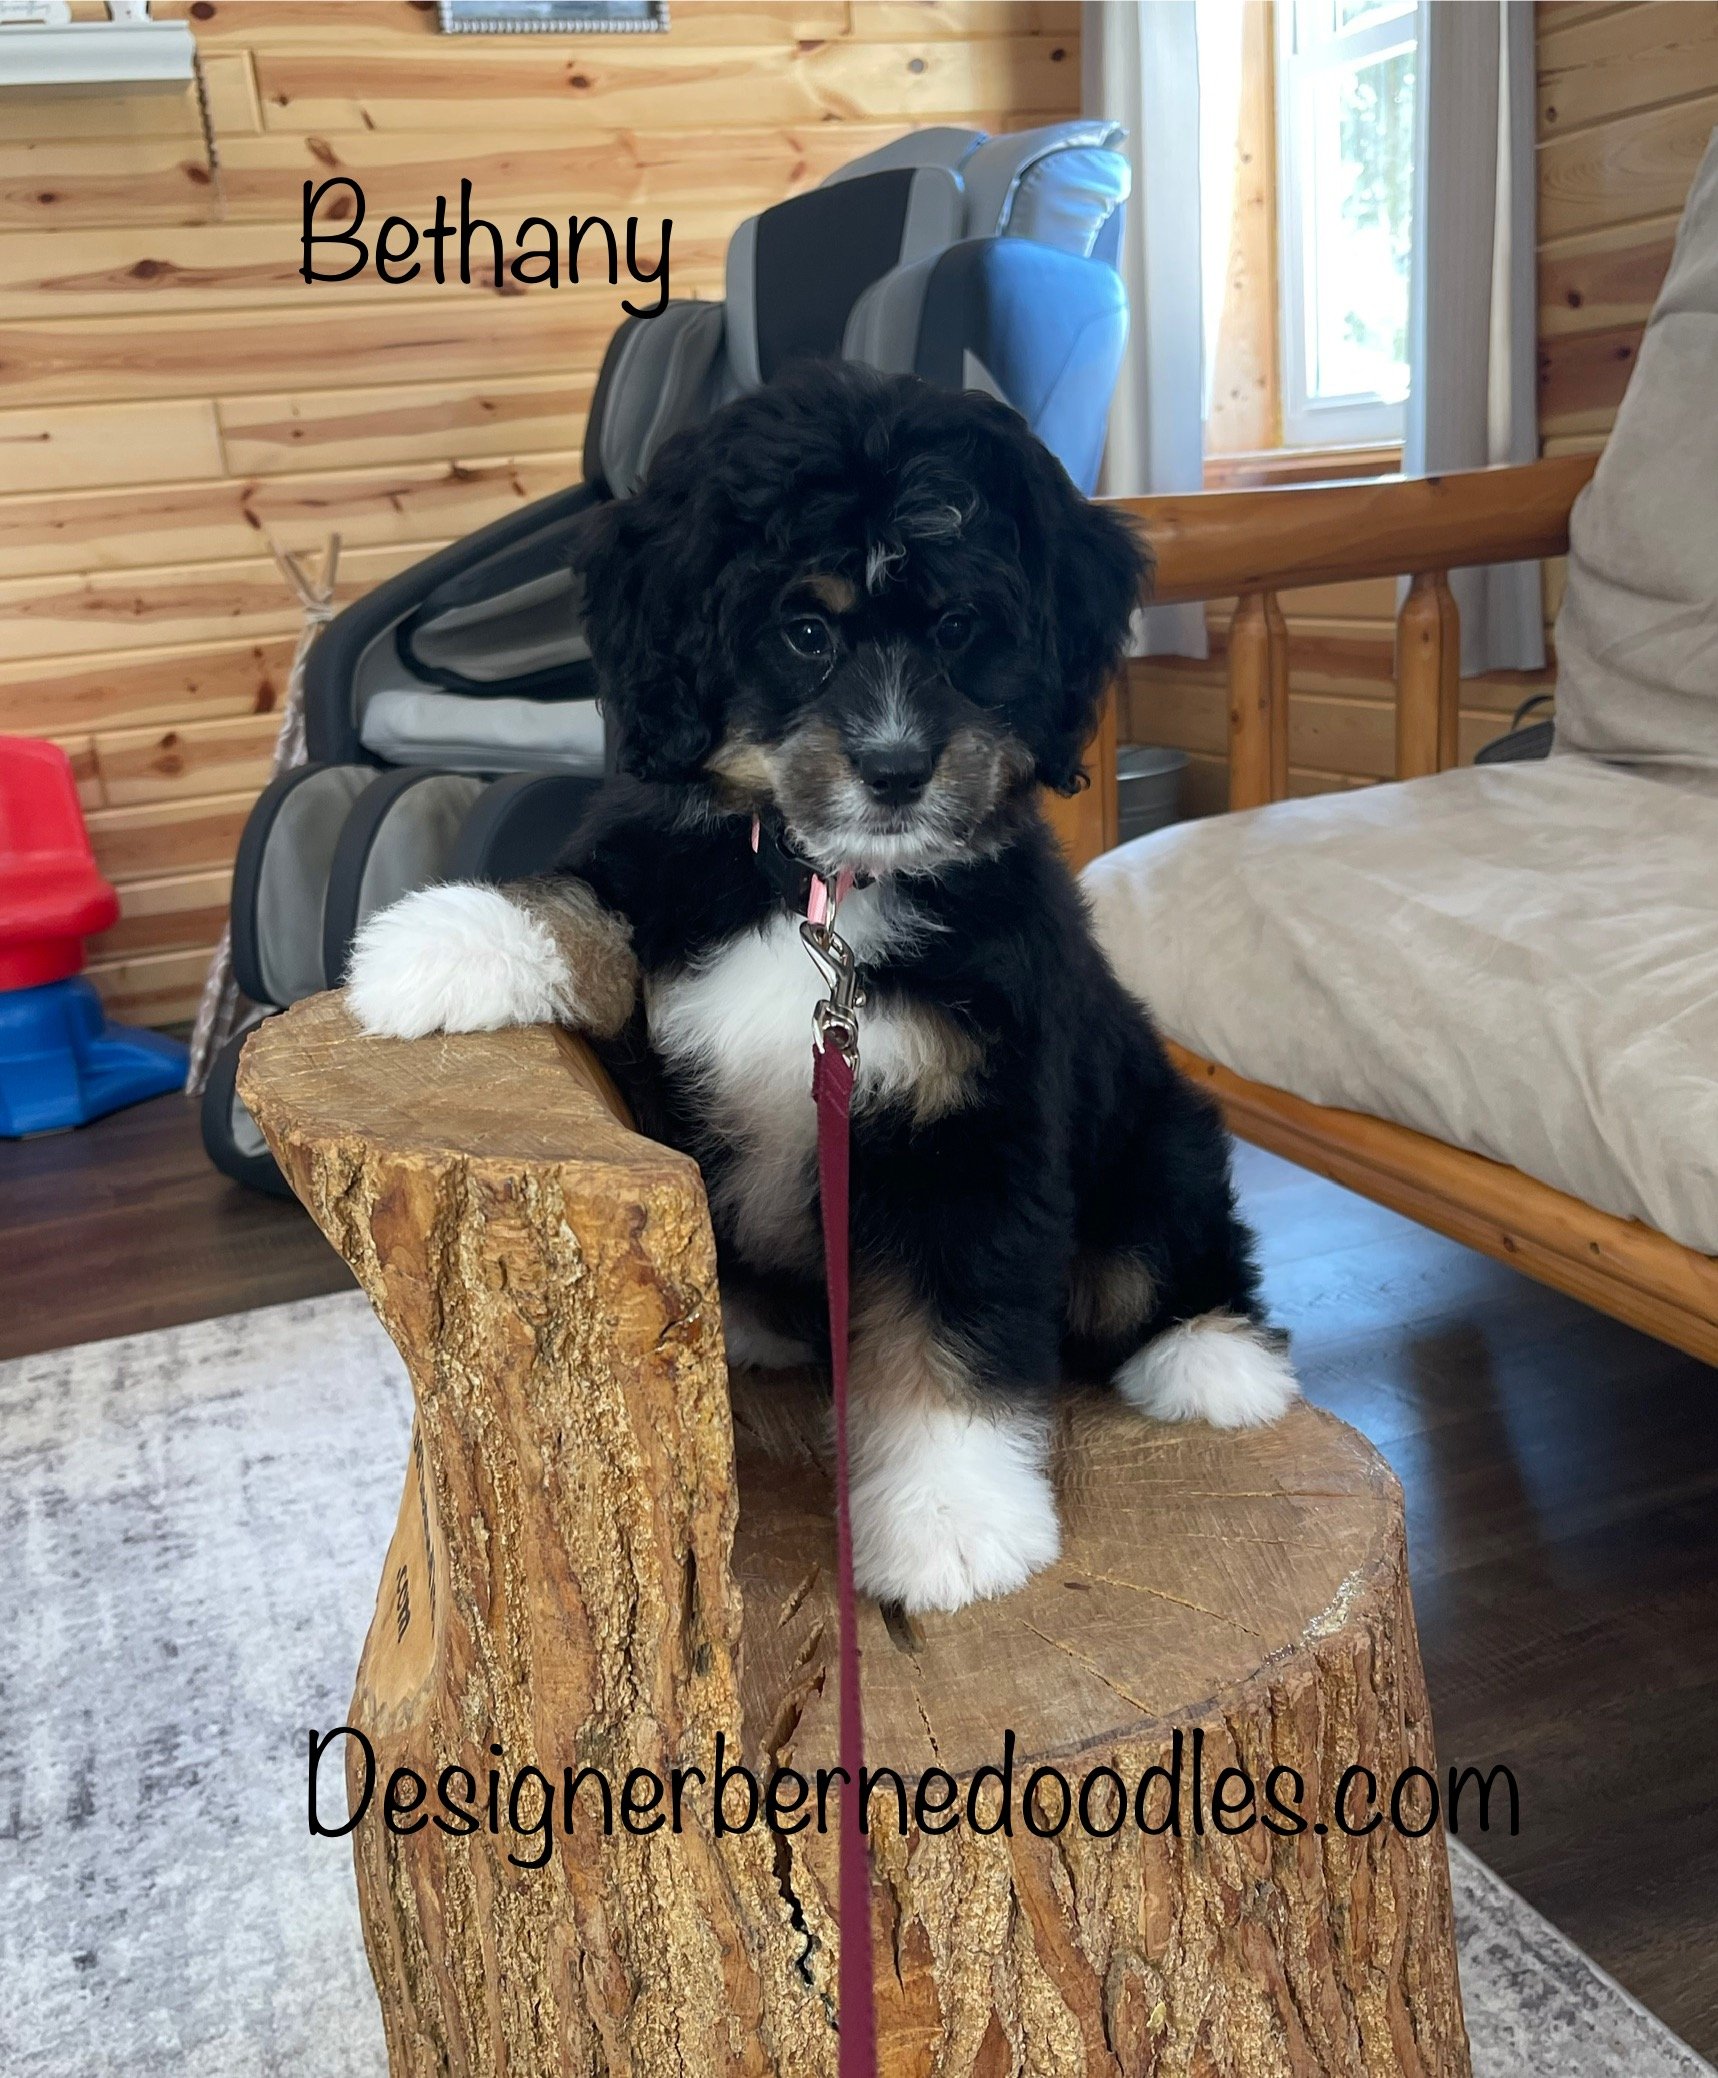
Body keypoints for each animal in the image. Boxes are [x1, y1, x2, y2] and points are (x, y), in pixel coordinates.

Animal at [345, 363, 1296, 1614]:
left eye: (958, 627)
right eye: (802, 630)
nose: (895, 769)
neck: (827, 892)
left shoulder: (969, 1124)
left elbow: (947, 1335)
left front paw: (950, 1519)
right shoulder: (680, 902)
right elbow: (592, 898)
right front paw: (443, 941)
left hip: (1155, 1133)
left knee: (1162, 1251)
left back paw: (1215, 1357)